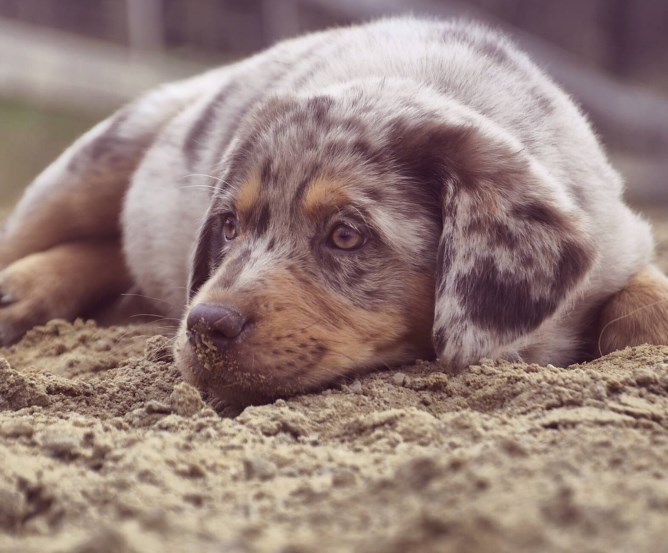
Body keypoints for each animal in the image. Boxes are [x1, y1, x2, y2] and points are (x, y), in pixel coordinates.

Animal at [1, 18, 668, 410]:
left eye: (346, 235)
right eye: (229, 226)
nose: (204, 325)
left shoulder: (621, 239)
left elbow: (647, 304)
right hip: (89, 166)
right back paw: (19, 291)